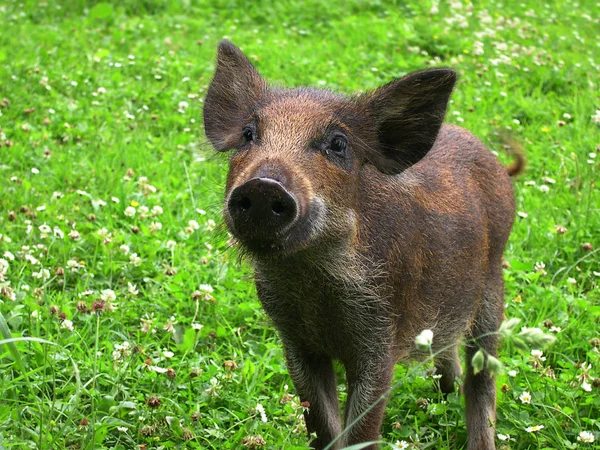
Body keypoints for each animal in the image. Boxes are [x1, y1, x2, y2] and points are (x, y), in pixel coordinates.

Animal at [202, 40, 520, 448]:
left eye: (338, 144)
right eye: (247, 134)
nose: (263, 186)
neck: (311, 280)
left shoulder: (380, 339)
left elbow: (361, 430)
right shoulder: (296, 341)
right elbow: (321, 425)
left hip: (493, 285)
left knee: (482, 377)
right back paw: (443, 395)